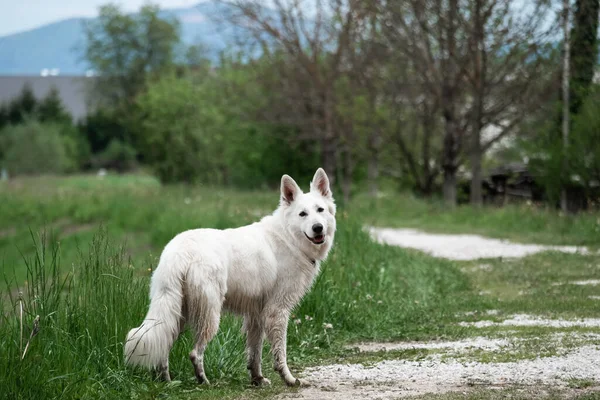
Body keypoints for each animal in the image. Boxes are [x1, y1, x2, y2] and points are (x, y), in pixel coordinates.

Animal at [123, 167, 336, 386]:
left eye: (320, 210)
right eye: (303, 214)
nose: (318, 228)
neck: (289, 238)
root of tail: (179, 252)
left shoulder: (256, 315)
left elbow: (255, 353)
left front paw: (257, 379)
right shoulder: (277, 312)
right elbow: (280, 353)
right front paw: (289, 379)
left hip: (176, 313)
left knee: (163, 347)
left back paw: (167, 381)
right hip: (209, 316)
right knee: (195, 353)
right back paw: (203, 381)